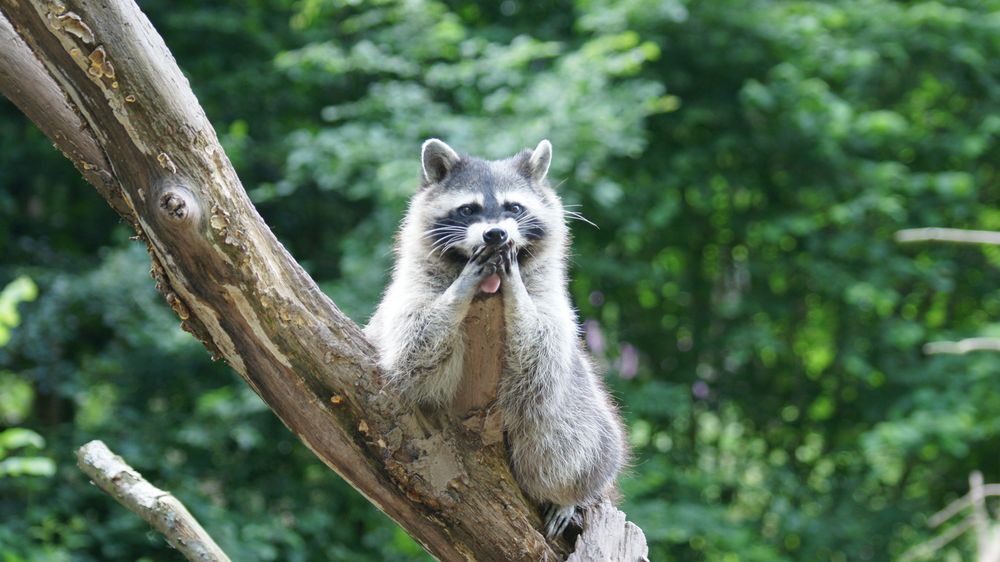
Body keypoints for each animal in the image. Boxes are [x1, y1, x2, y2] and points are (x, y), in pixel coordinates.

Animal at [364, 138, 628, 536]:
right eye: (467, 209)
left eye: (513, 207)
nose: (496, 234)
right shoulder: (409, 295)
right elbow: (415, 350)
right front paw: (459, 290)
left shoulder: (554, 308)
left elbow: (542, 350)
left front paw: (516, 286)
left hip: (579, 417)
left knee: (567, 432)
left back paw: (570, 494)